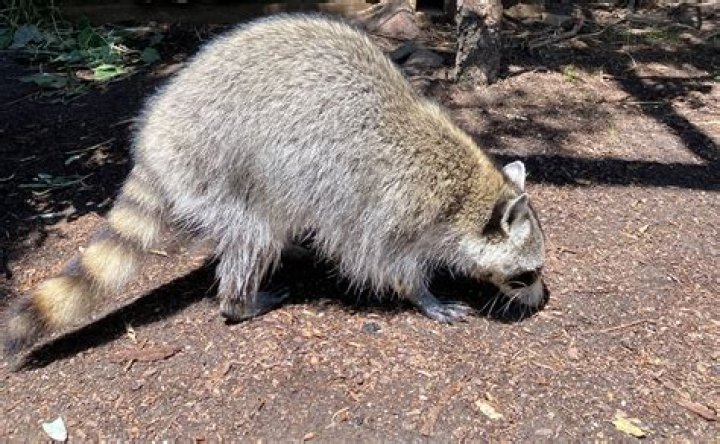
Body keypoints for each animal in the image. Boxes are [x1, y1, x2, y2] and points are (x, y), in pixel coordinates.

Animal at [4, 14, 545, 357]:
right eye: (527, 274)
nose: (540, 302)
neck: (469, 193)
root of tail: (157, 136)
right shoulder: (389, 205)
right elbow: (382, 261)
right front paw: (423, 296)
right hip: (219, 167)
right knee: (252, 234)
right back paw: (240, 301)